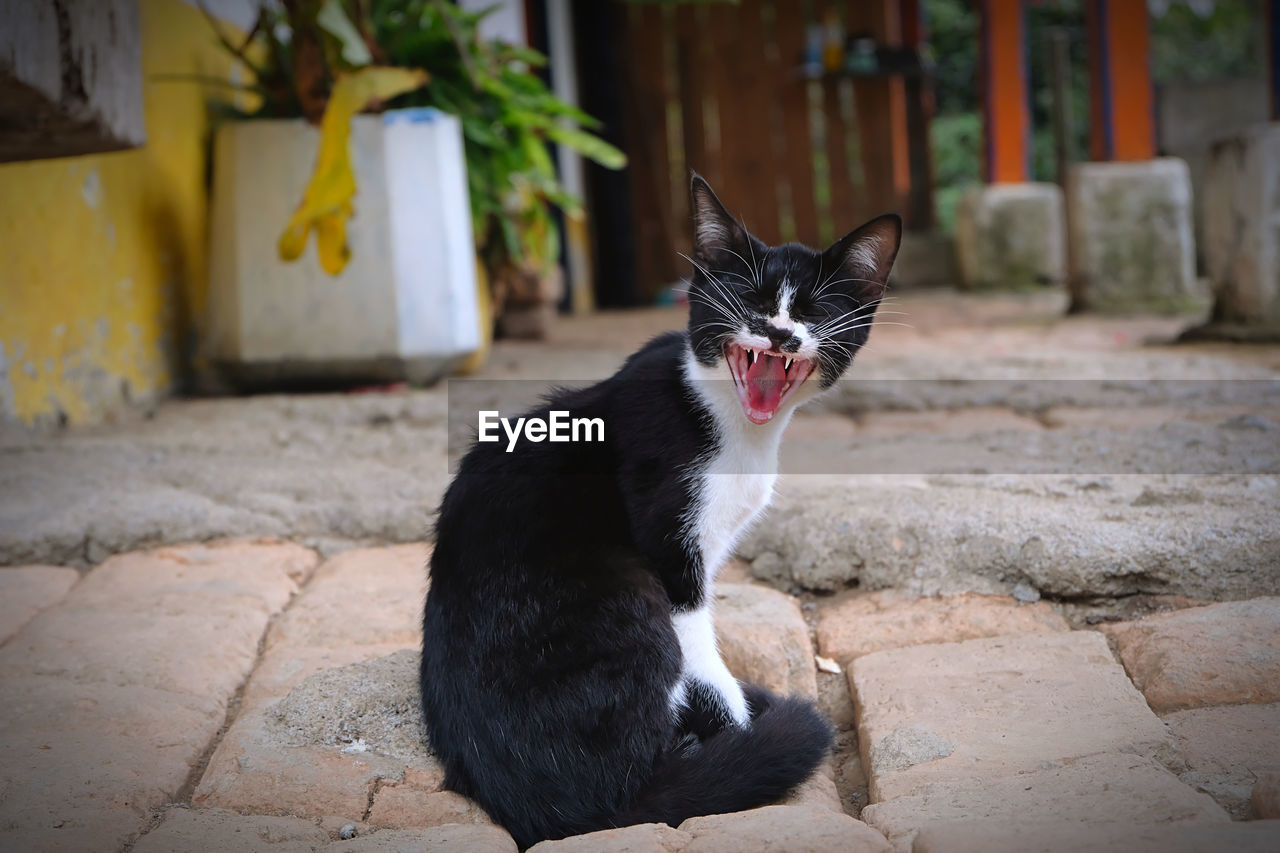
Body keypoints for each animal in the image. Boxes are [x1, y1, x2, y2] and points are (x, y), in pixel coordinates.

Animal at [419, 174, 901, 845]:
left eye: (813, 311)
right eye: (747, 298)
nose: (778, 333)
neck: (733, 426)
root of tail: (563, 813)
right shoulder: (669, 543)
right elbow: (700, 651)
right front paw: (739, 728)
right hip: (622, 598)